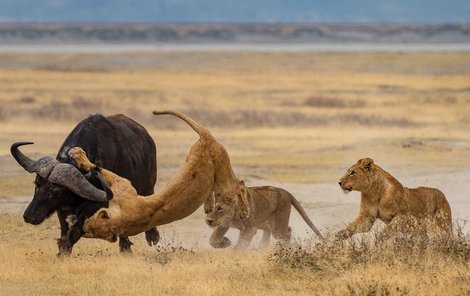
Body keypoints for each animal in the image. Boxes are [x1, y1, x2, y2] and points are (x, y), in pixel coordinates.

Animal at [11, 113, 160, 254]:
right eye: (36, 183)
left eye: (56, 191)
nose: (29, 216)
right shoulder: (62, 209)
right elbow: (65, 232)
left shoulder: (97, 206)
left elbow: (75, 232)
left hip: (148, 187)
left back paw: (147, 239)